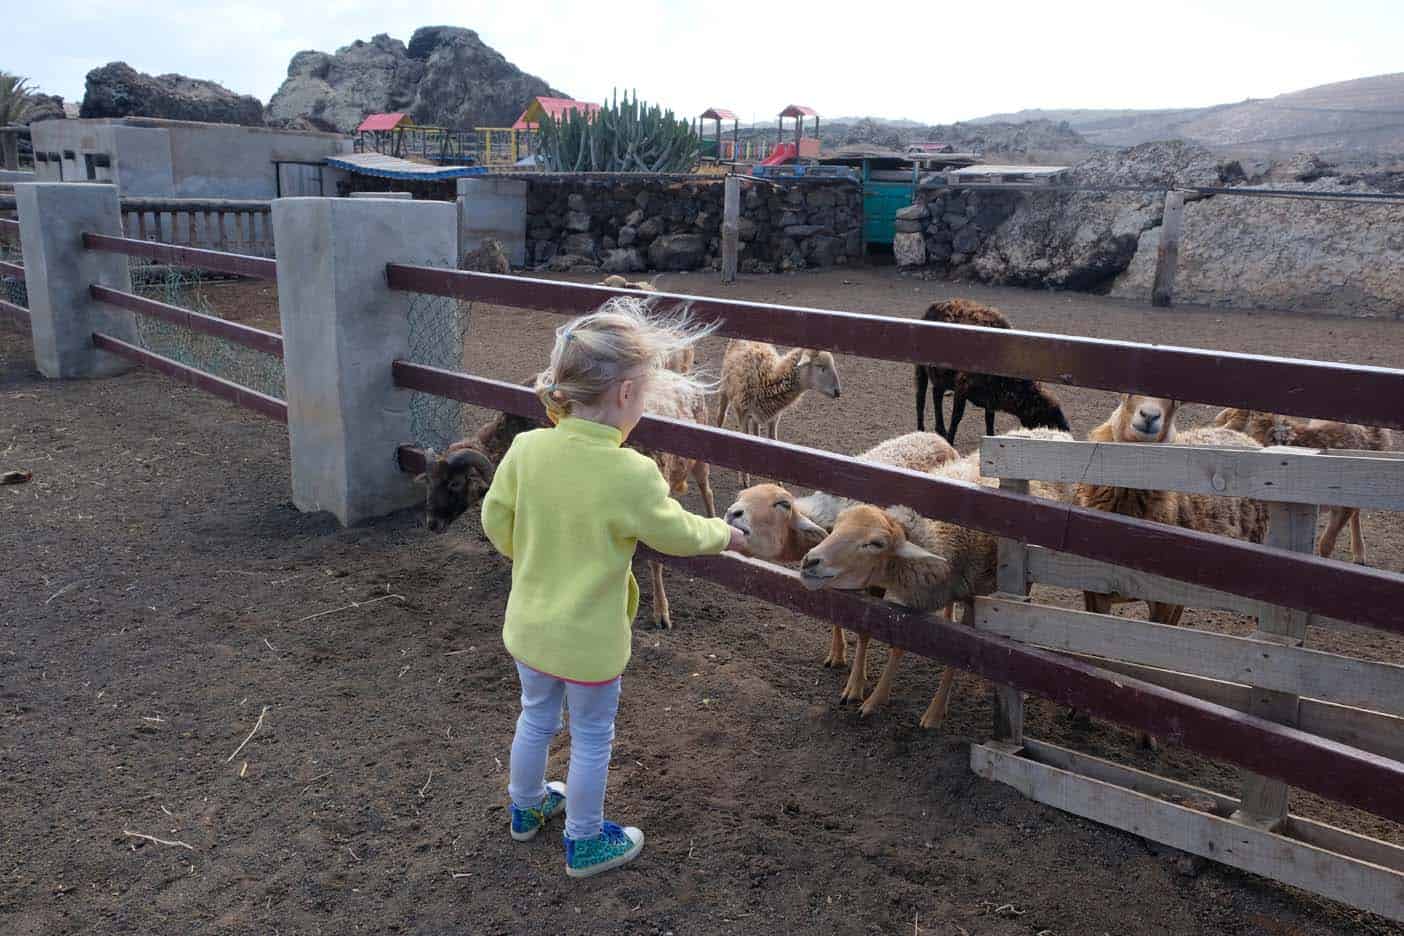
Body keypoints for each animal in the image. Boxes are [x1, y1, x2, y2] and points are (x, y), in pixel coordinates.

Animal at [718, 343, 836, 488]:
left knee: (755, 430)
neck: (768, 380)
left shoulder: (774, 419)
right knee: (721, 415)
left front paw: (778, 481)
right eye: (820, 366)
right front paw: (744, 479)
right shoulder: (742, 413)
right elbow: (742, 443)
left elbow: (773, 442)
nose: (838, 391)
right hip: (725, 387)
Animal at [797, 429, 1067, 729]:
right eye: (837, 529)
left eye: (876, 543)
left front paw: (931, 712)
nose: (810, 561)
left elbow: (952, 653)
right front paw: (858, 683)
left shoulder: (966, 598)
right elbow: (864, 625)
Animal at [915, 300, 1067, 446]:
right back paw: (921, 430)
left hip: (940, 375)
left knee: (936, 394)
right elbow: (956, 418)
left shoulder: (991, 398)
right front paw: (950, 441)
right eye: (1046, 419)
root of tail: (935, 305)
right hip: (921, 368)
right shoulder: (962, 387)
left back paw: (940, 429)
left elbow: (989, 420)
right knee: (920, 399)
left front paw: (990, 437)